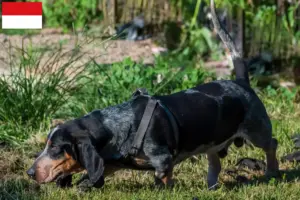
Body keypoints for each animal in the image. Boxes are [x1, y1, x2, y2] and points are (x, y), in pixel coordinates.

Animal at [27, 0, 280, 191]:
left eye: (55, 148)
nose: (29, 172)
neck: (118, 125)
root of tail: (241, 82)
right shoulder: (113, 161)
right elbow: (98, 172)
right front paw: (84, 185)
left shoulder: (163, 161)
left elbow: (162, 179)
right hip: (211, 144)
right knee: (215, 164)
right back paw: (211, 187)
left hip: (257, 132)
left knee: (272, 144)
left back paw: (272, 172)